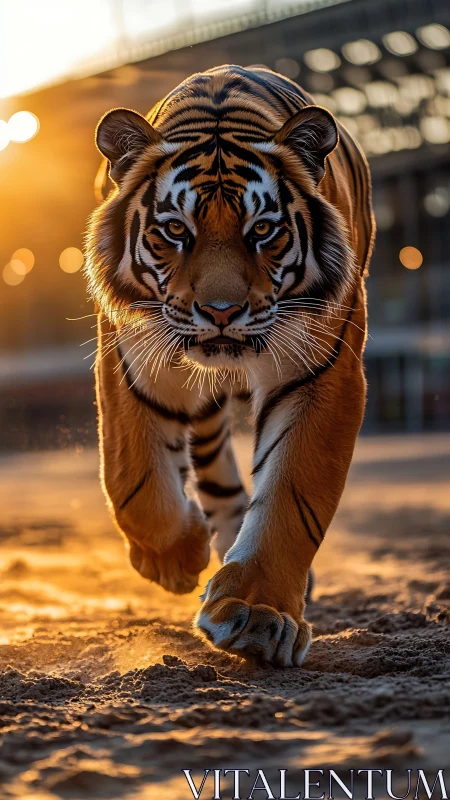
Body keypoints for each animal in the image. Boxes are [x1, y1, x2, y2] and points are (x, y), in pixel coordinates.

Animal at [85, 64, 375, 668]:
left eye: (262, 230)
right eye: (175, 230)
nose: (220, 312)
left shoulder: (321, 370)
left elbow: (293, 491)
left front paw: (257, 614)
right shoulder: (131, 352)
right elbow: (133, 478)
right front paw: (176, 556)